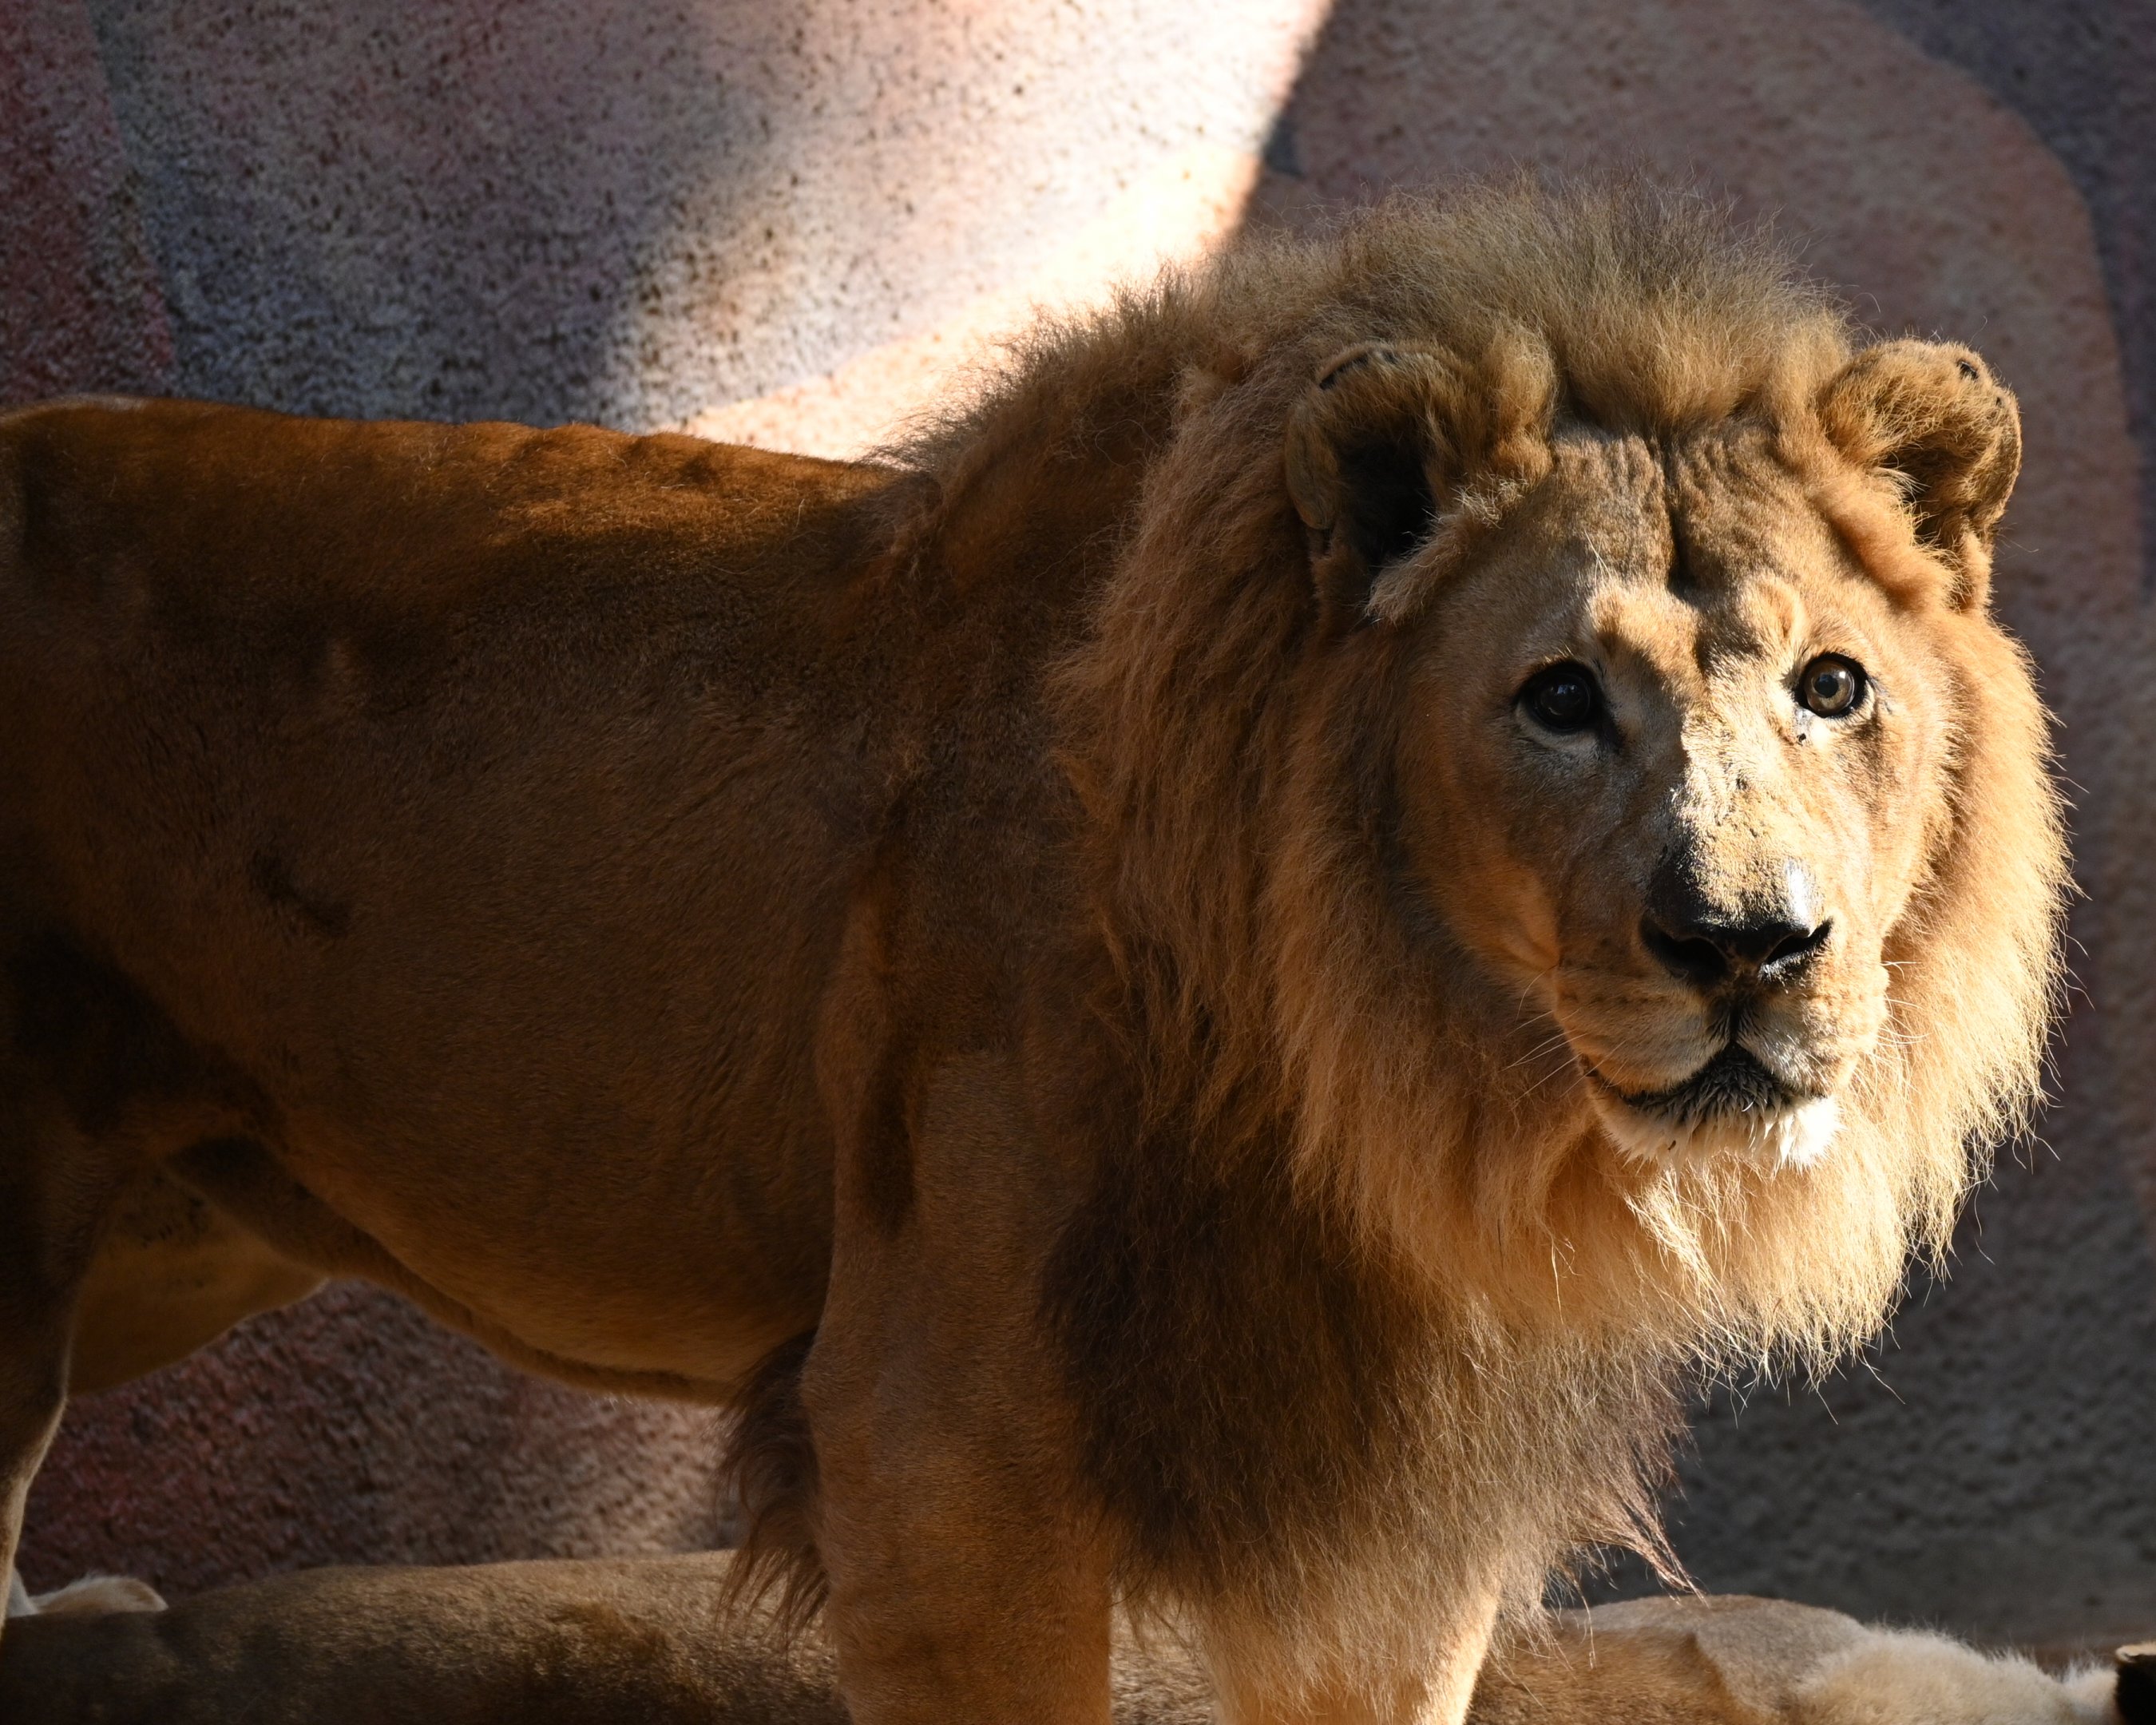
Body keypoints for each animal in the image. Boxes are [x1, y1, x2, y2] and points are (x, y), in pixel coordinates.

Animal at [0, 179, 2065, 1724]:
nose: (1748, 944)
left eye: (1832, 688)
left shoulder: (1385, 1511)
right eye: (1558, 697)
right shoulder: (941, 1444)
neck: (1402, 1076)